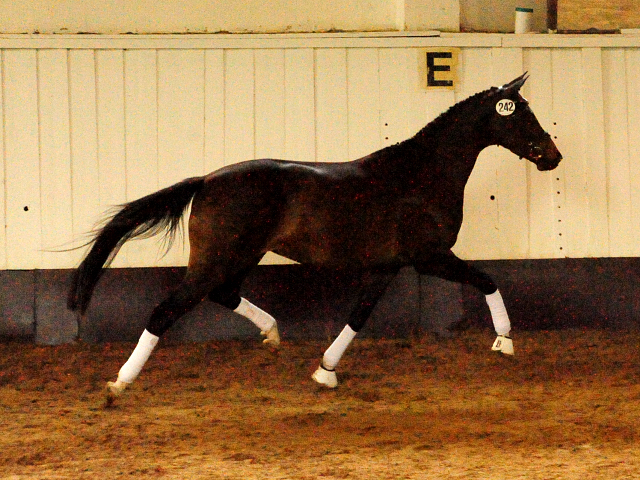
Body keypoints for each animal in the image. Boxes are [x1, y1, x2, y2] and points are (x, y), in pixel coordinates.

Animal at [67, 74, 564, 398]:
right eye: (522, 114)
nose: (553, 156)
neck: (420, 175)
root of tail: (205, 181)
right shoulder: (430, 256)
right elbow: (487, 279)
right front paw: (505, 341)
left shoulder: (386, 266)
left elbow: (359, 316)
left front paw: (325, 371)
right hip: (215, 261)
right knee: (165, 310)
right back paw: (121, 381)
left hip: (240, 257)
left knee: (224, 295)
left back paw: (271, 333)